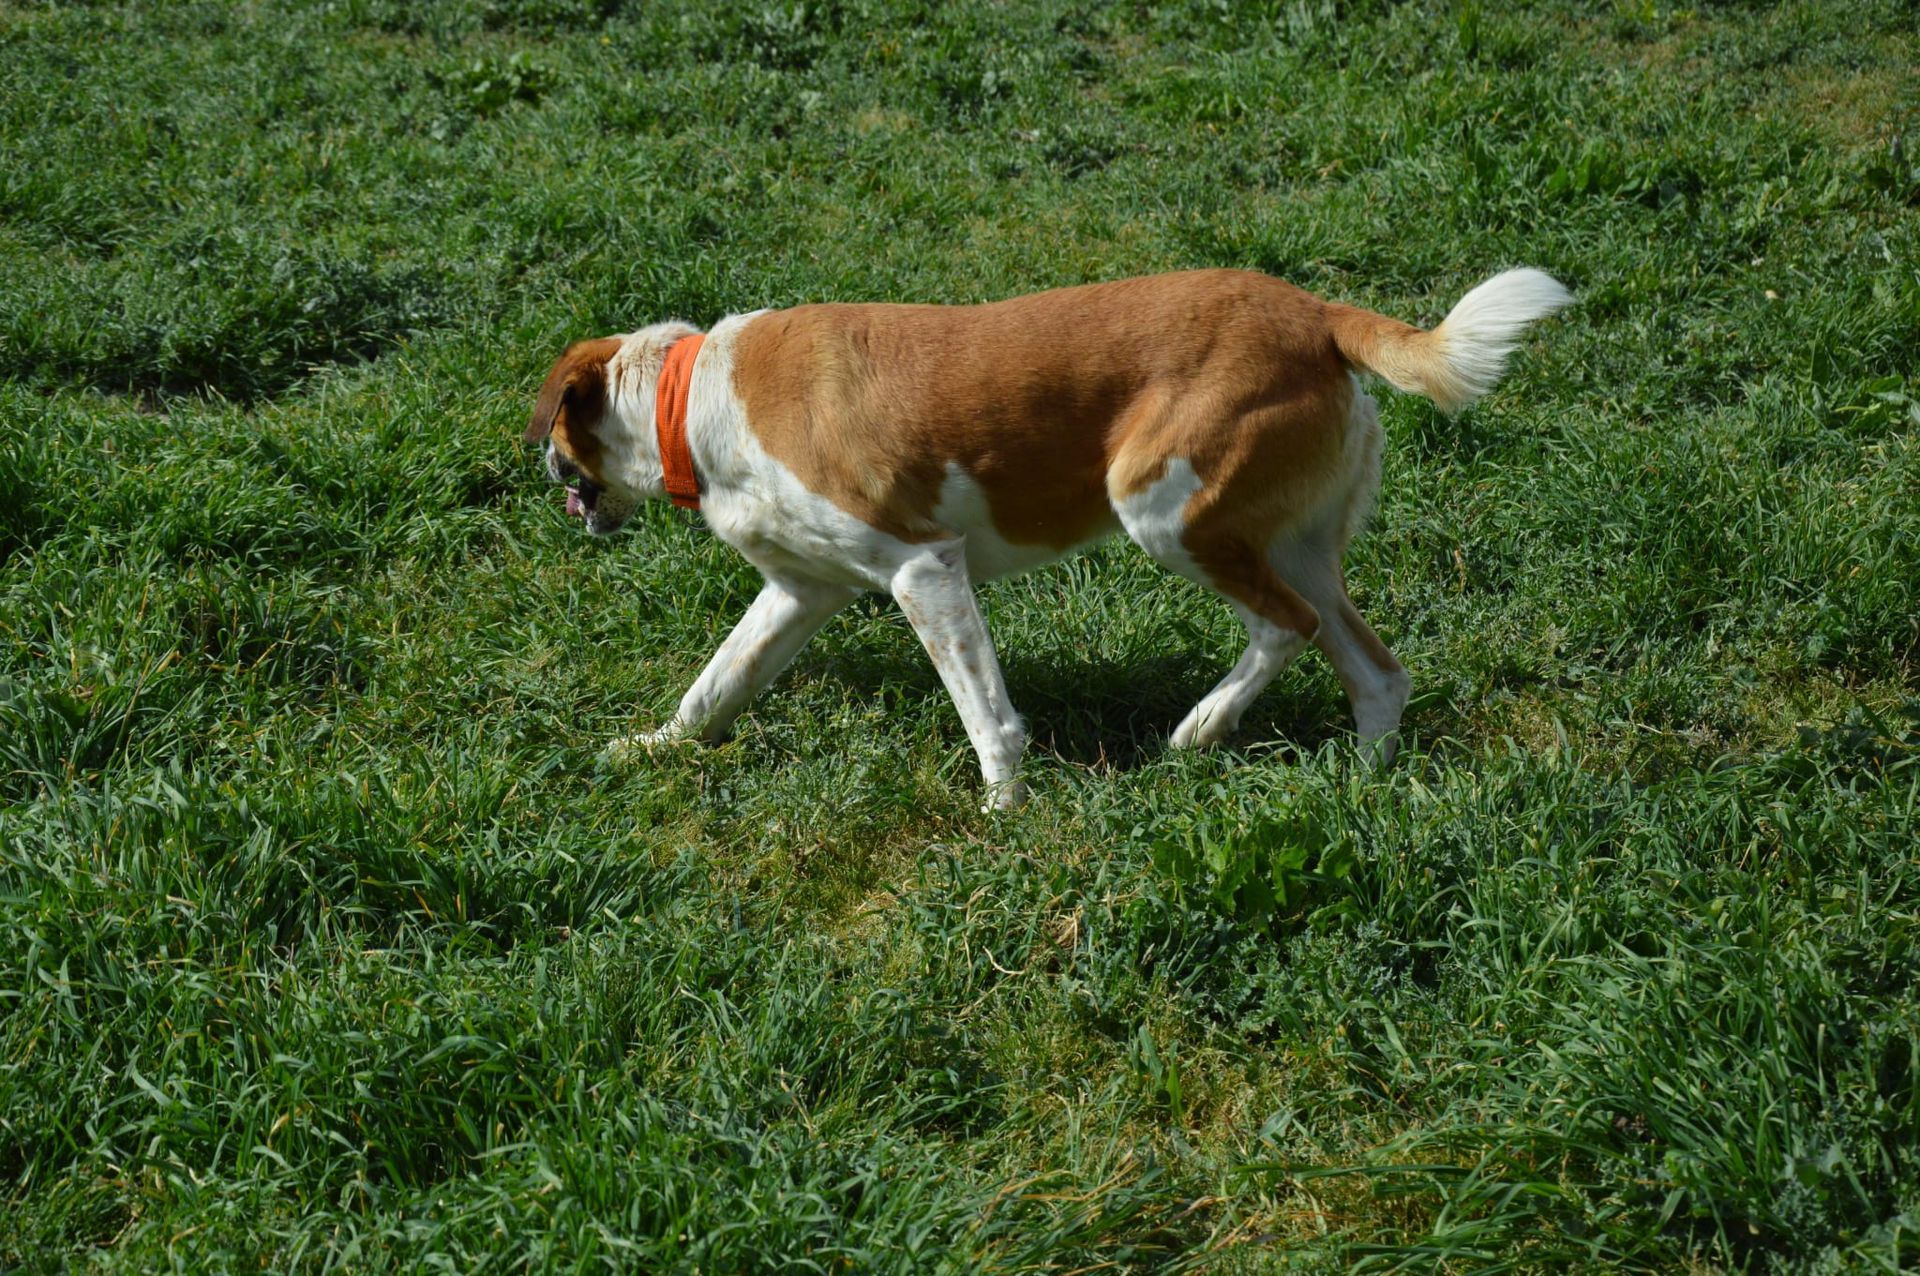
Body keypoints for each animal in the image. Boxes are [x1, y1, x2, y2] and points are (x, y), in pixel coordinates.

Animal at [526, 268, 1570, 807]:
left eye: (558, 440)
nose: (546, 477)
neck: (693, 393)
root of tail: (1314, 311)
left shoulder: (923, 569)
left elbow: (991, 720)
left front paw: (1001, 817)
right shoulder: (800, 592)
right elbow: (716, 685)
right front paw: (652, 750)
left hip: (1165, 513)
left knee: (1285, 628)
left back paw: (1201, 729)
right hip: (1295, 546)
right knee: (1375, 669)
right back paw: (1362, 789)